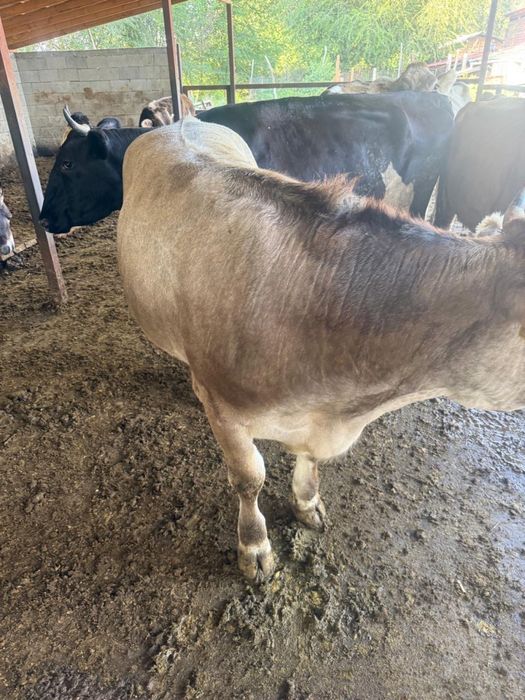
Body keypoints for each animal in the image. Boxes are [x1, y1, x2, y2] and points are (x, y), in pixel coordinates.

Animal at [114, 118, 525, 581]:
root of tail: (182, 121)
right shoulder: (225, 411)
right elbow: (249, 477)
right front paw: (254, 545)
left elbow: (308, 462)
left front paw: (307, 503)